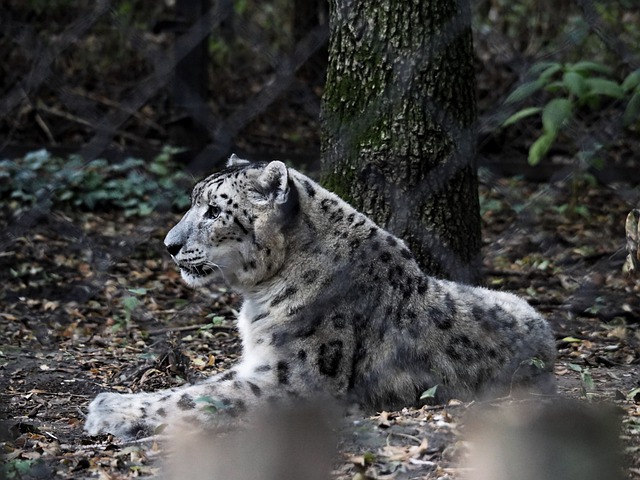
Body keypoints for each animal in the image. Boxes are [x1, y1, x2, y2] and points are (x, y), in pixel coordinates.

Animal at [85, 155, 556, 438]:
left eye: (214, 210)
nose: (169, 245)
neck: (258, 297)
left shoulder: (292, 379)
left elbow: (197, 396)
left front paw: (108, 409)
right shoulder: (259, 362)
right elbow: (202, 384)